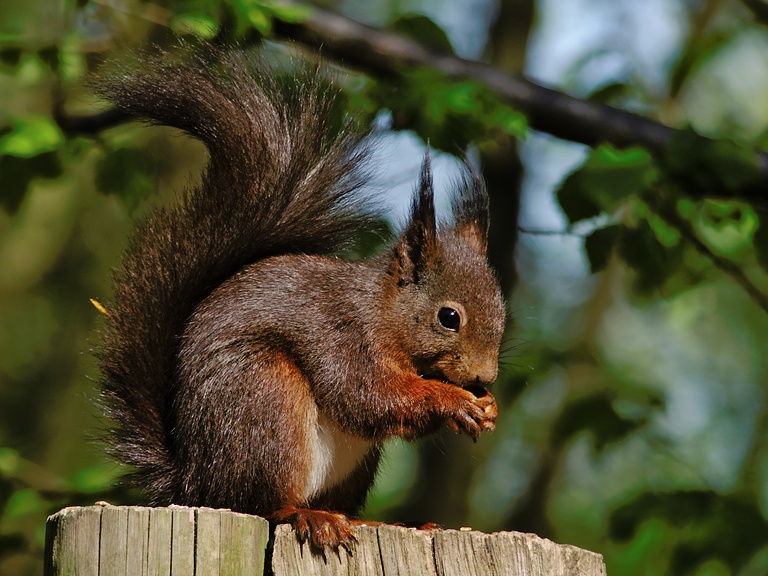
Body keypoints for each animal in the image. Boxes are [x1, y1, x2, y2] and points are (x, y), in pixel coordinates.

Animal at [95, 45, 505, 550]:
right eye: (449, 317)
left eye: (503, 312)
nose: (484, 377)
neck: (384, 311)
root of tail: (195, 482)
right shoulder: (343, 334)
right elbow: (367, 396)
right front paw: (454, 401)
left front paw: (488, 406)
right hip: (266, 402)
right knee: (264, 503)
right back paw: (307, 515)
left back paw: (373, 523)